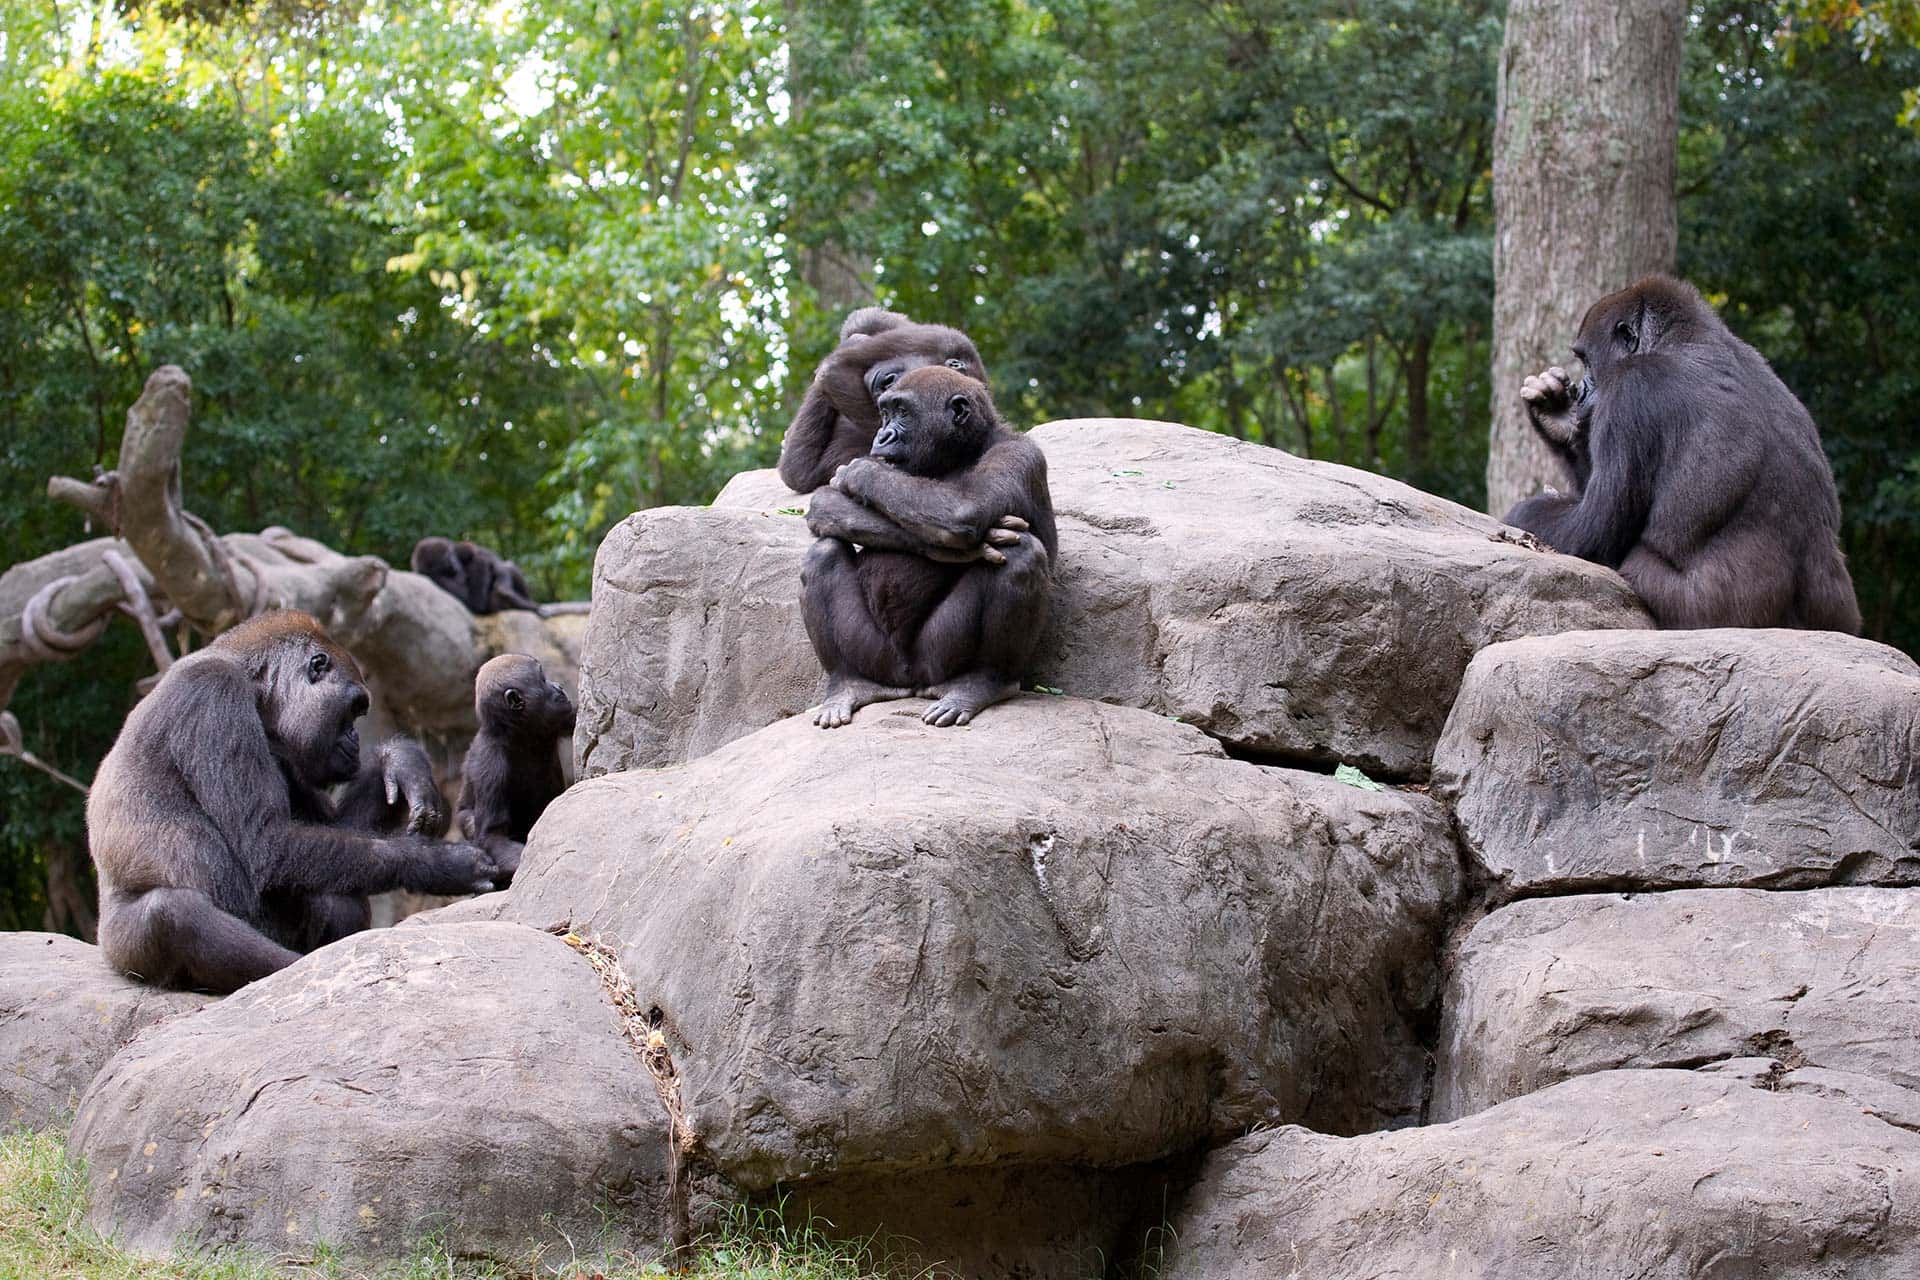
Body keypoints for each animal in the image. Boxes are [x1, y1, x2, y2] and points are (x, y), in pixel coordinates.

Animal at [88, 611, 502, 993]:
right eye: (353, 709)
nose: (355, 742)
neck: (252, 684)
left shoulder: (287, 751)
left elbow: (338, 836)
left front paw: (399, 762)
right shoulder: (214, 695)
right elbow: (267, 844)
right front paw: (439, 863)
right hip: (126, 952)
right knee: (172, 914)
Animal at [410, 536, 540, 614]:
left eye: (450, 555)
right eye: (444, 562)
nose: (454, 564)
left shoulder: (456, 547)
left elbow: (477, 551)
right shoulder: (435, 578)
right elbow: (474, 602)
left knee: (507, 567)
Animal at [454, 654, 575, 887]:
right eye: (542, 680)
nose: (559, 687)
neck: (514, 732)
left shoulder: (556, 719)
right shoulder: (490, 765)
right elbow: (493, 837)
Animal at [801, 366, 1057, 728]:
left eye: (903, 412)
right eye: (885, 413)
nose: (882, 435)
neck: (960, 451)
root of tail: (911, 681)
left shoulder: (1019, 454)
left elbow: (967, 510)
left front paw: (860, 471)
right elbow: (826, 503)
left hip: (936, 661)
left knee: (1021, 555)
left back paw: (984, 682)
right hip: (880, 661)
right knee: (823, 553)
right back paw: (848, 681)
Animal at [1504, 275, 1862, 633]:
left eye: (1588, 361)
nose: (1582, 392)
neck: (1680, 339)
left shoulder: (1630, 389)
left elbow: (1593, 529)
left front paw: (1526, 512)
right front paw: (1557, 416)